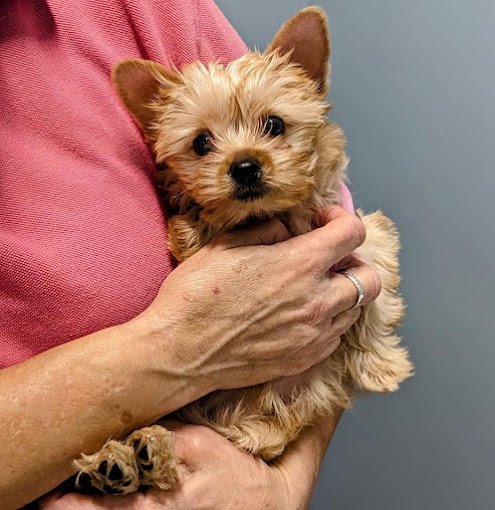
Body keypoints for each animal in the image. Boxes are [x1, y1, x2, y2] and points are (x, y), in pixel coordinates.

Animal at [74, 6, 414, 494]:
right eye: (201, 142)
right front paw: (199, 224)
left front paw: (382, 366)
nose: (245, 165)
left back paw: (135, 461)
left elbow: (376, 286)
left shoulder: (361, 227)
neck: (272, 214)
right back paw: (127, 457)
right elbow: (192, 232)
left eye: (274, 124)